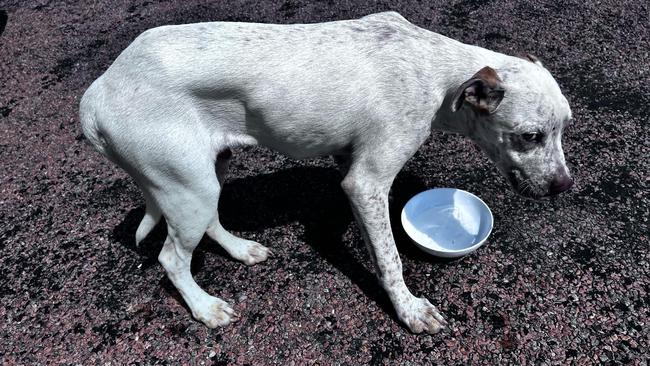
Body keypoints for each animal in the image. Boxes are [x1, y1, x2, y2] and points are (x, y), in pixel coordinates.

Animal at [81, 11, 572, 334]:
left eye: (564, 127)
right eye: (530, 136)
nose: (564, 186)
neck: (437, 74)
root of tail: (95, 95)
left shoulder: (348, 164)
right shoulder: (366, 183)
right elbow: (390, 258)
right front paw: (409, 310)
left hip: (206, 174)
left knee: (211, 223)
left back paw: (242, 249)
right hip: (187, 187)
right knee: (171, 259)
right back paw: (204, 308)